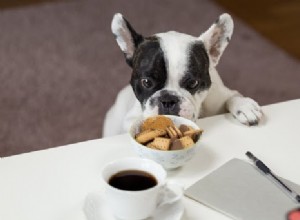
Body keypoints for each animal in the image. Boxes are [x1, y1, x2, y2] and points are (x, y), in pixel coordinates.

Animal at [103, 12, 262, 137]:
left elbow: (232, 97)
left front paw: (244, 106)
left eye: (193, 83)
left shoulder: (220, 96)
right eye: (146, 82)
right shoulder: (130, 119)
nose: (168, 100)